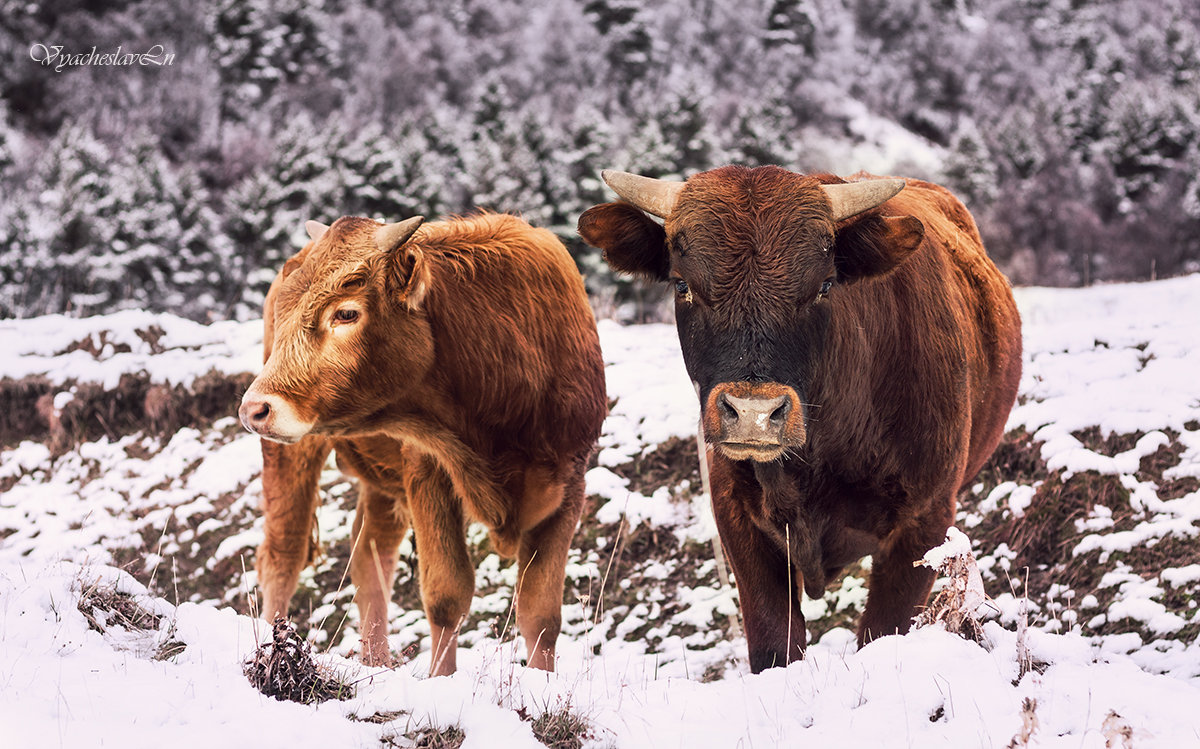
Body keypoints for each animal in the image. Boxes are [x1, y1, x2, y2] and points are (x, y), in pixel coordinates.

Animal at [240, 211, 609, 672]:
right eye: (285, 313)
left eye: (346, 313)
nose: (254, 408)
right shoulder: (430, 474)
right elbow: (447, 597)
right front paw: (442, 681)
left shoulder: (570, 485)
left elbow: (540, 612)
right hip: (291, 454)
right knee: (283, 556)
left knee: (370, 555)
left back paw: (376, 663)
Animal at [576, 166, 1017, 672]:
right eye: (682, 285)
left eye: (824, 286)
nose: (753, 414)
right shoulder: (739, 520)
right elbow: (774, 644)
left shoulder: (924, 521)